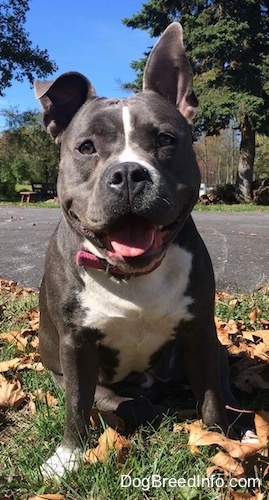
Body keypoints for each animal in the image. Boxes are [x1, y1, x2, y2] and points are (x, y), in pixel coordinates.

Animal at [33, 22, 243, 476]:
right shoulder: (77, 345)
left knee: (221, 383)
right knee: (122, 403)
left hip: (213, 347)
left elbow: (211, 397)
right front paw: (67, 456)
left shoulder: (200, 332)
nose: (129, 173)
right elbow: (77, 405)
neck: (131, 277)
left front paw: (220, 439)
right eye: (87, 147)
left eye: (165, 139)